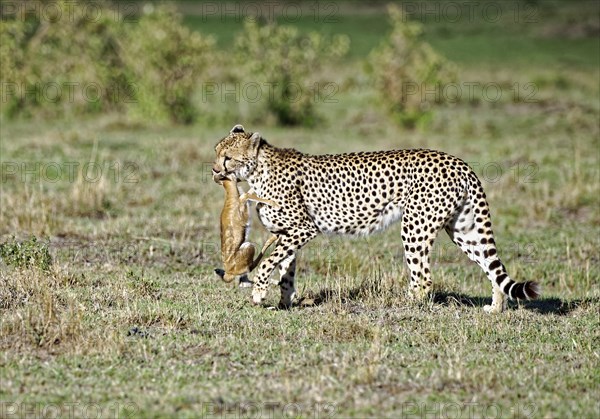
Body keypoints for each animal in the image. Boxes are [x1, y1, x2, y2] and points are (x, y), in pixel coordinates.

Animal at [213, 124, 540, 312]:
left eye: (228, 158)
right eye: (216, 151)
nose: (215, 171)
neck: (258, 169)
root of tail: (457, 161)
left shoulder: (304, 228)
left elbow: (267, 263)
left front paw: (258, 294)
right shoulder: (287, 233)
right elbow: (285, 271)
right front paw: (284, 302)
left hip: (415, 226)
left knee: (423, 277)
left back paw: (403, 305)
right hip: (463, 228)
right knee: (492, 268)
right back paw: (495, 308)